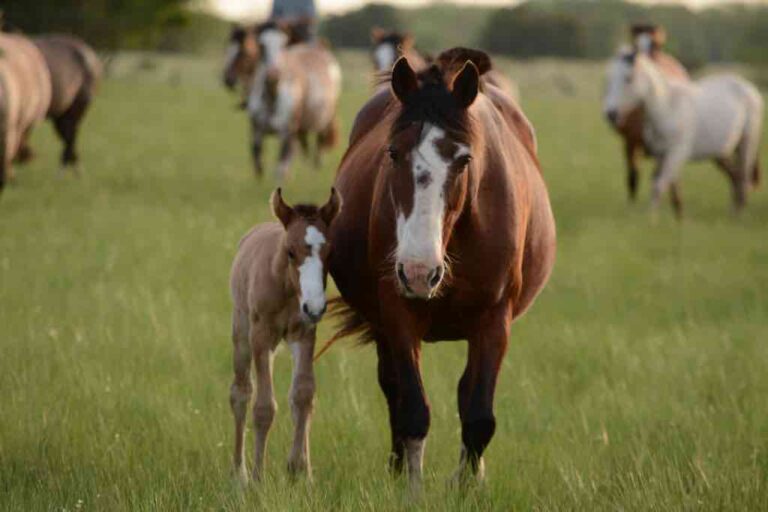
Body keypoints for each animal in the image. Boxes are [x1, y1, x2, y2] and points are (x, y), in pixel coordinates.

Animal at [228, 186, 342, 482]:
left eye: (330, 252)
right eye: (290, 251)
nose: (314, 306)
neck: (286, 287)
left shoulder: (304, 334)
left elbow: (302, 396)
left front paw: (300, 471)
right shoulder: (261, 337)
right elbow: (263, 406)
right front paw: (258, 477)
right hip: (242, 332)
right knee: (241, 392)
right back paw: (239, 473)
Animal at [328, 50, 556, 490]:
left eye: (463, 159)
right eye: (393, 153)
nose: (420, 272)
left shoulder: (494, 319)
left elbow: (478, 415)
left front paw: (466, 487)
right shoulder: (398, 314)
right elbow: (413, 409)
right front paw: (411, 488)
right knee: (393, 389)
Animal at [608, 46, 760, 216]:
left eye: (628, 78)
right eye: (610, 79)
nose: (610, 114)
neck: (667, 108)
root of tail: (752, 90)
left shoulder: (677, 153)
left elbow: (660, 185)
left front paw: (651, 219)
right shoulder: (661, 155)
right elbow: (659, 185)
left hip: (747, 144)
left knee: (743, 177)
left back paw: (737, 215)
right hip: (726, 151)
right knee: (736, 177)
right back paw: (734, 211)